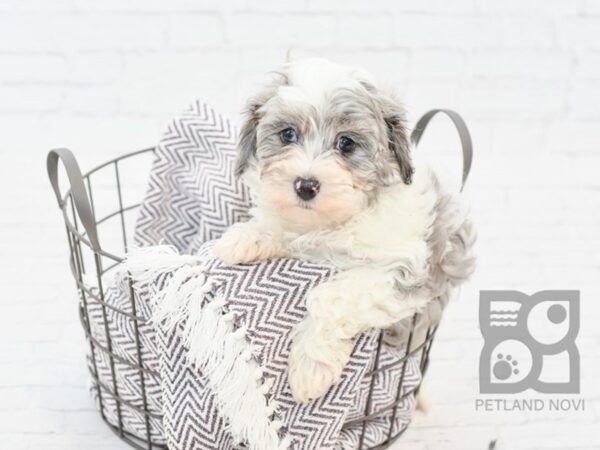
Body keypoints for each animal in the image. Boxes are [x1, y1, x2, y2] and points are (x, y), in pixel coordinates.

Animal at [213, 58, 476, 402]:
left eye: (346, 143)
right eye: (288, 134)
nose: (305, 186)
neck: (335, 223)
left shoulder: (402, 270)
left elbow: (327, 296)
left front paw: (309, 368)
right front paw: (246, 236)